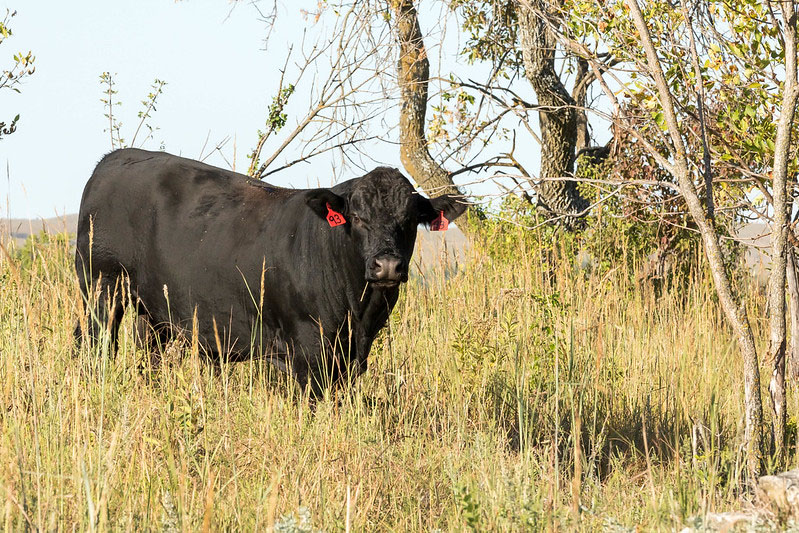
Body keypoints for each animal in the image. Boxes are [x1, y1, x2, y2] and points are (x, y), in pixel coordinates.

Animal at [75, 148, 468, 388]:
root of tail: (114, 158)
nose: (387, 265)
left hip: (153, 309)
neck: (358, 310)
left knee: (149, 354)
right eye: (358, 217)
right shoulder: (307, 350)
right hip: (101, 288)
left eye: (410, 219)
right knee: (94, 347)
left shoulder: (353, 354)